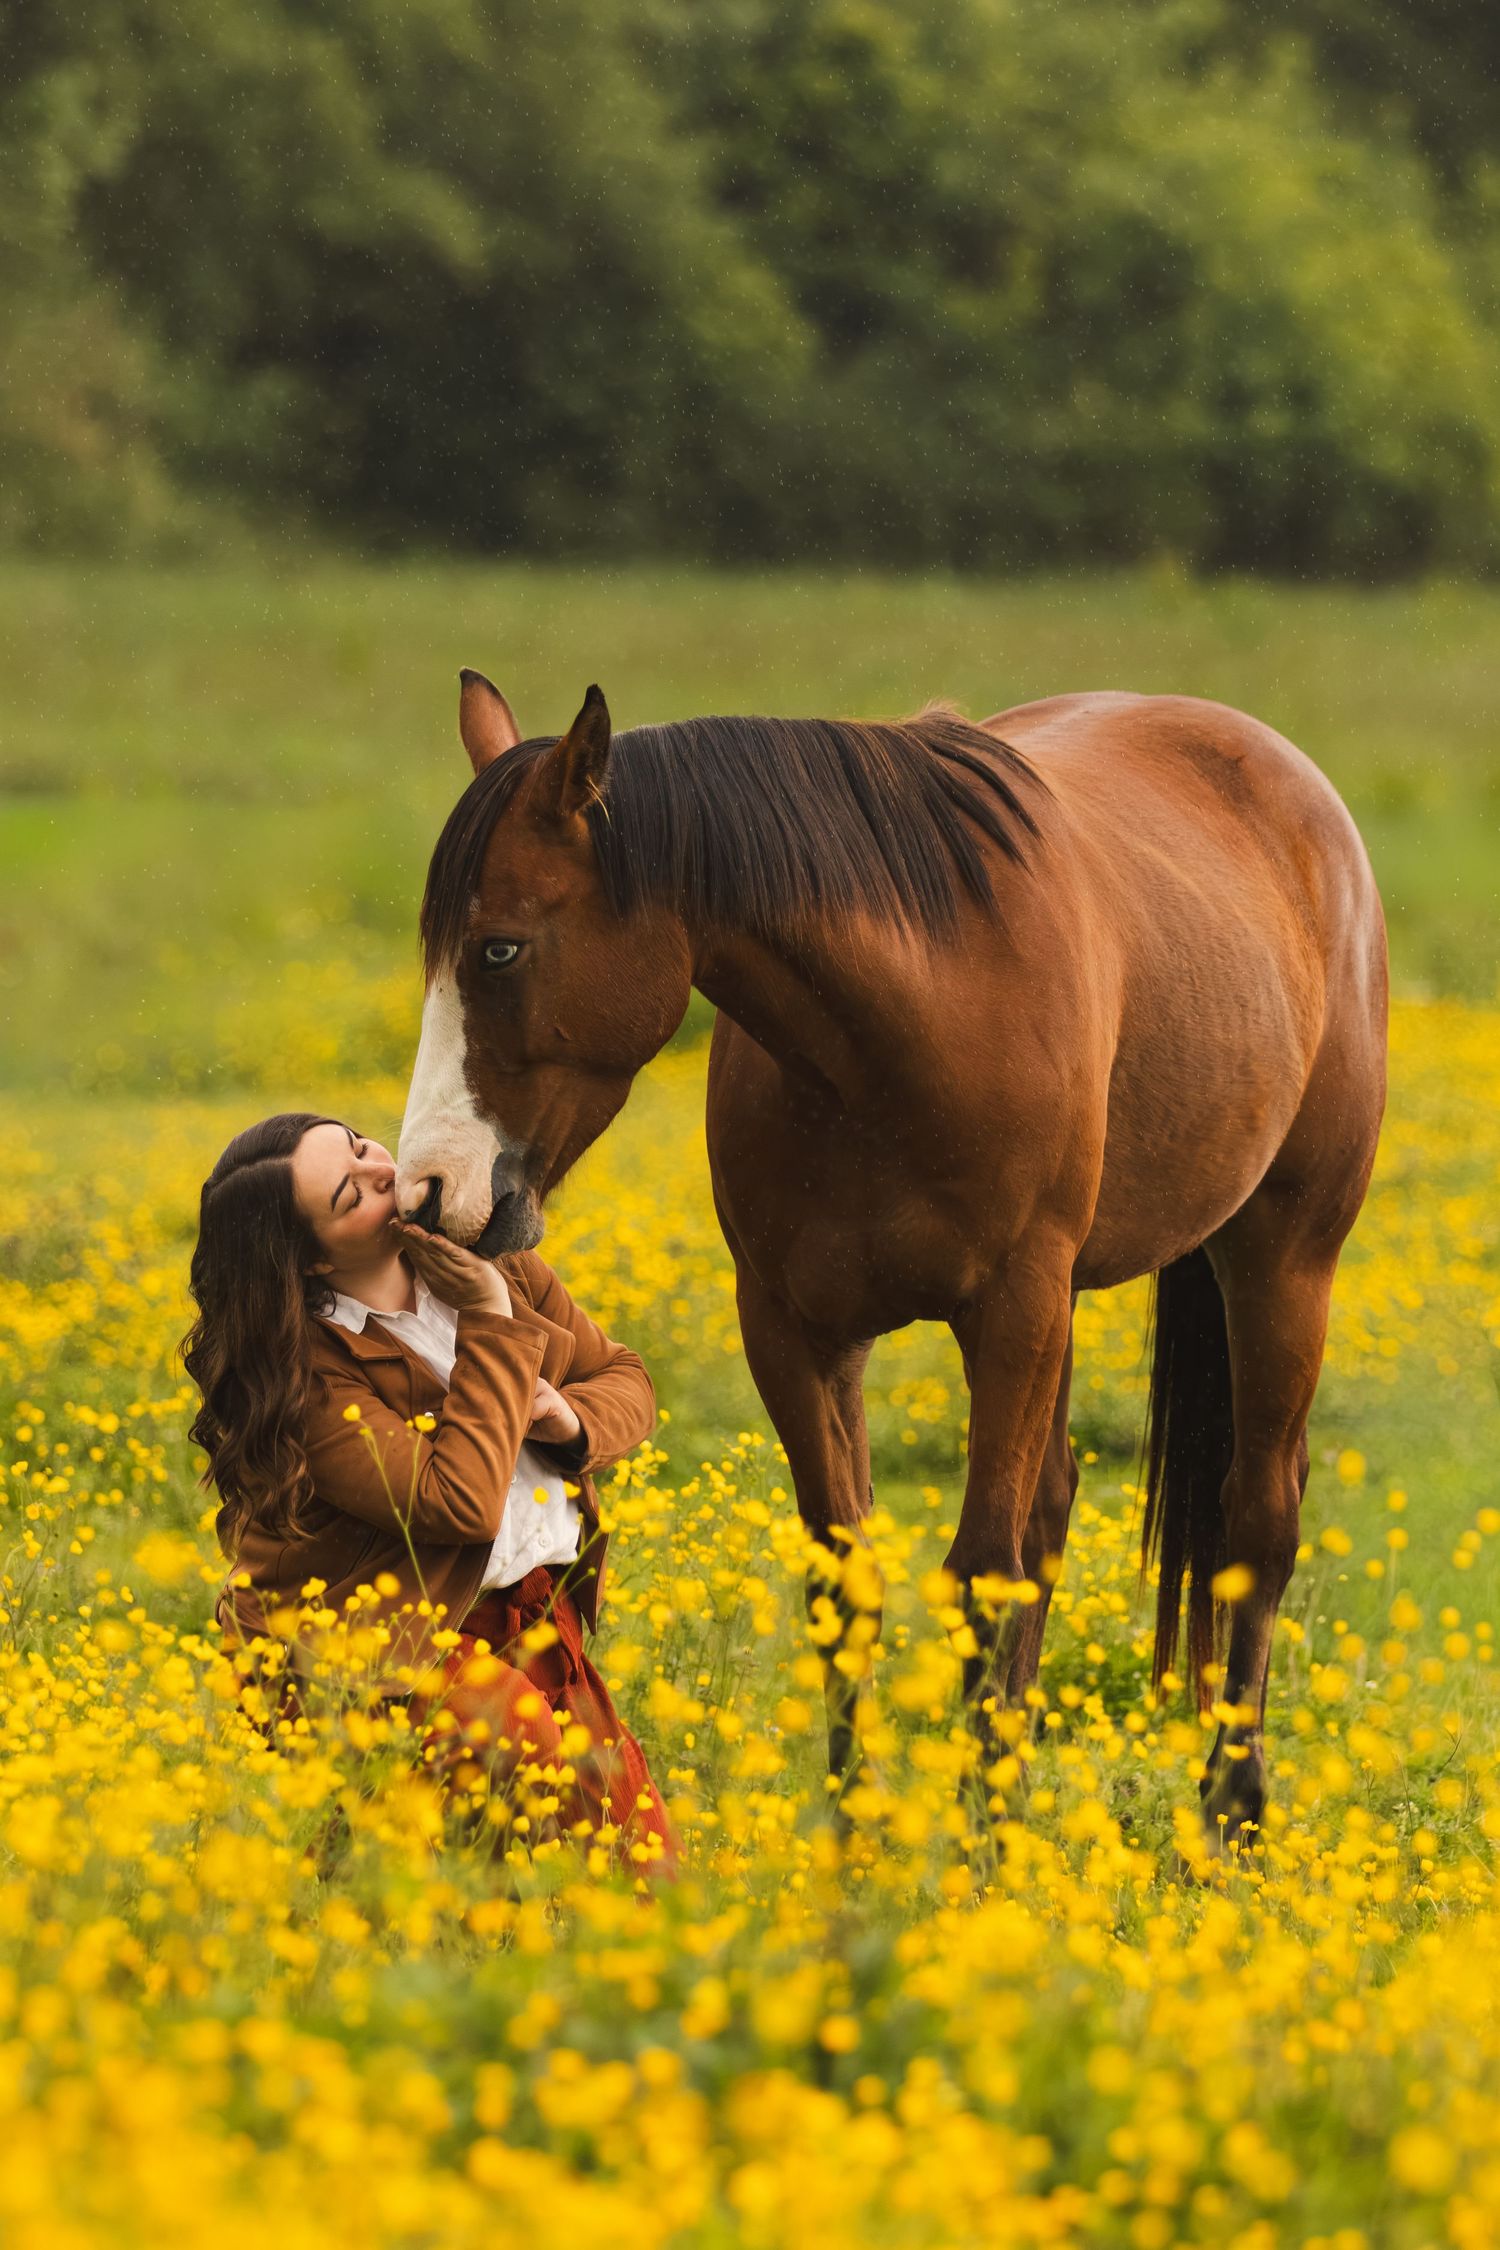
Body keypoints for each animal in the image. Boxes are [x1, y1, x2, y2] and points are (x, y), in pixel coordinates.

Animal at [395, 668, 1387, 1850]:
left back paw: (1229, 1813)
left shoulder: (1012, 1308)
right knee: (1057, 1506)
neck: (904, 1027)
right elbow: (848, 1583)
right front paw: (857, 1840)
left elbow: (983, 1575)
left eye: (500, 948)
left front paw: (979, 1855)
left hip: (1280, 1257)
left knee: (1259, 1519)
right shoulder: (795, 1331)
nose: (428, 1192)